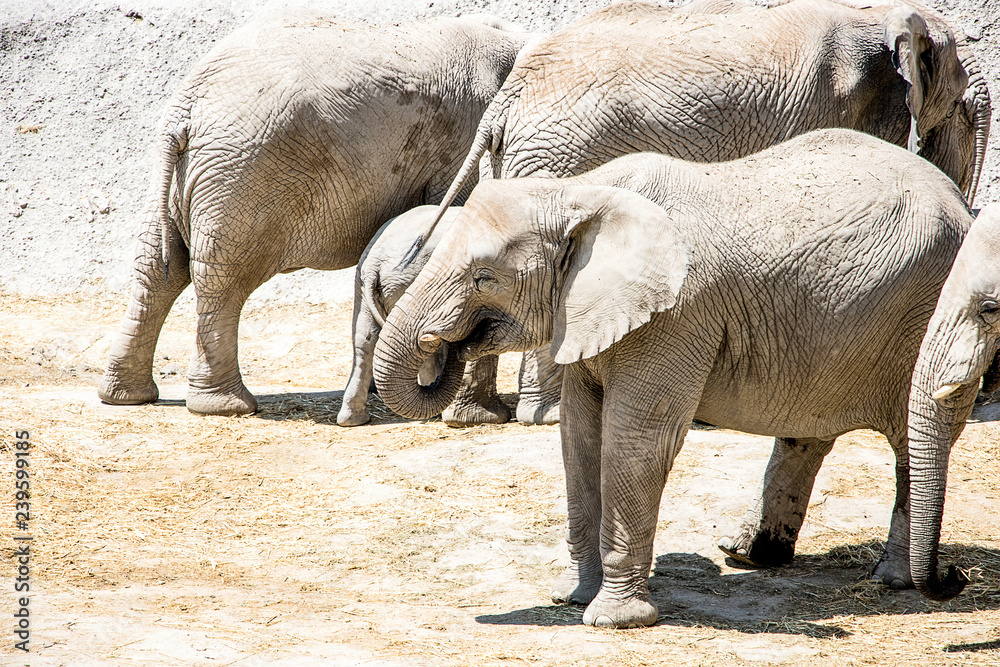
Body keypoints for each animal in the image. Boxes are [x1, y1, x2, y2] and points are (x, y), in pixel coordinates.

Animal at [372, 129, 974, 627]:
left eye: (484, 277)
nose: (443, 343)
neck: (578, 193)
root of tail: (960, 200)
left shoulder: (677, 315)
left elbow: (635, 442)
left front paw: (613, 620)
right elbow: (579, 437)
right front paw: (570, 597)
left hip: (923, 312)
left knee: (915, 438)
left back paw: (893, 581)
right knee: (810, 433)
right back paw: (751, 554)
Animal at [425, 0, 991, 427]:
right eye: (964, 108)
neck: (879, 13)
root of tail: (507, 96)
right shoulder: (844, 107)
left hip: (520, 158)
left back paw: (475, 418)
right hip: (562, 153)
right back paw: (549, 415)